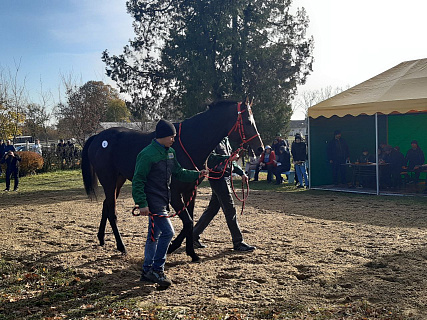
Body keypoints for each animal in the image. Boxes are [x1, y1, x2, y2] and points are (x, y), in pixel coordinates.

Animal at [81, 100, 264, 262]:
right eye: (248, 122)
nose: (260, 148)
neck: (190, 142)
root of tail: (98, 137)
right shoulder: (174, 194)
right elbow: (188, 221)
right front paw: (174, 247)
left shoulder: (190, 191)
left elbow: (190, 220)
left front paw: (189, 252)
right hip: (109, 180)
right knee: (112, 212)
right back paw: (121, 246)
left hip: (117, 181)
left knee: (106, 206)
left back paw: (101, 238)